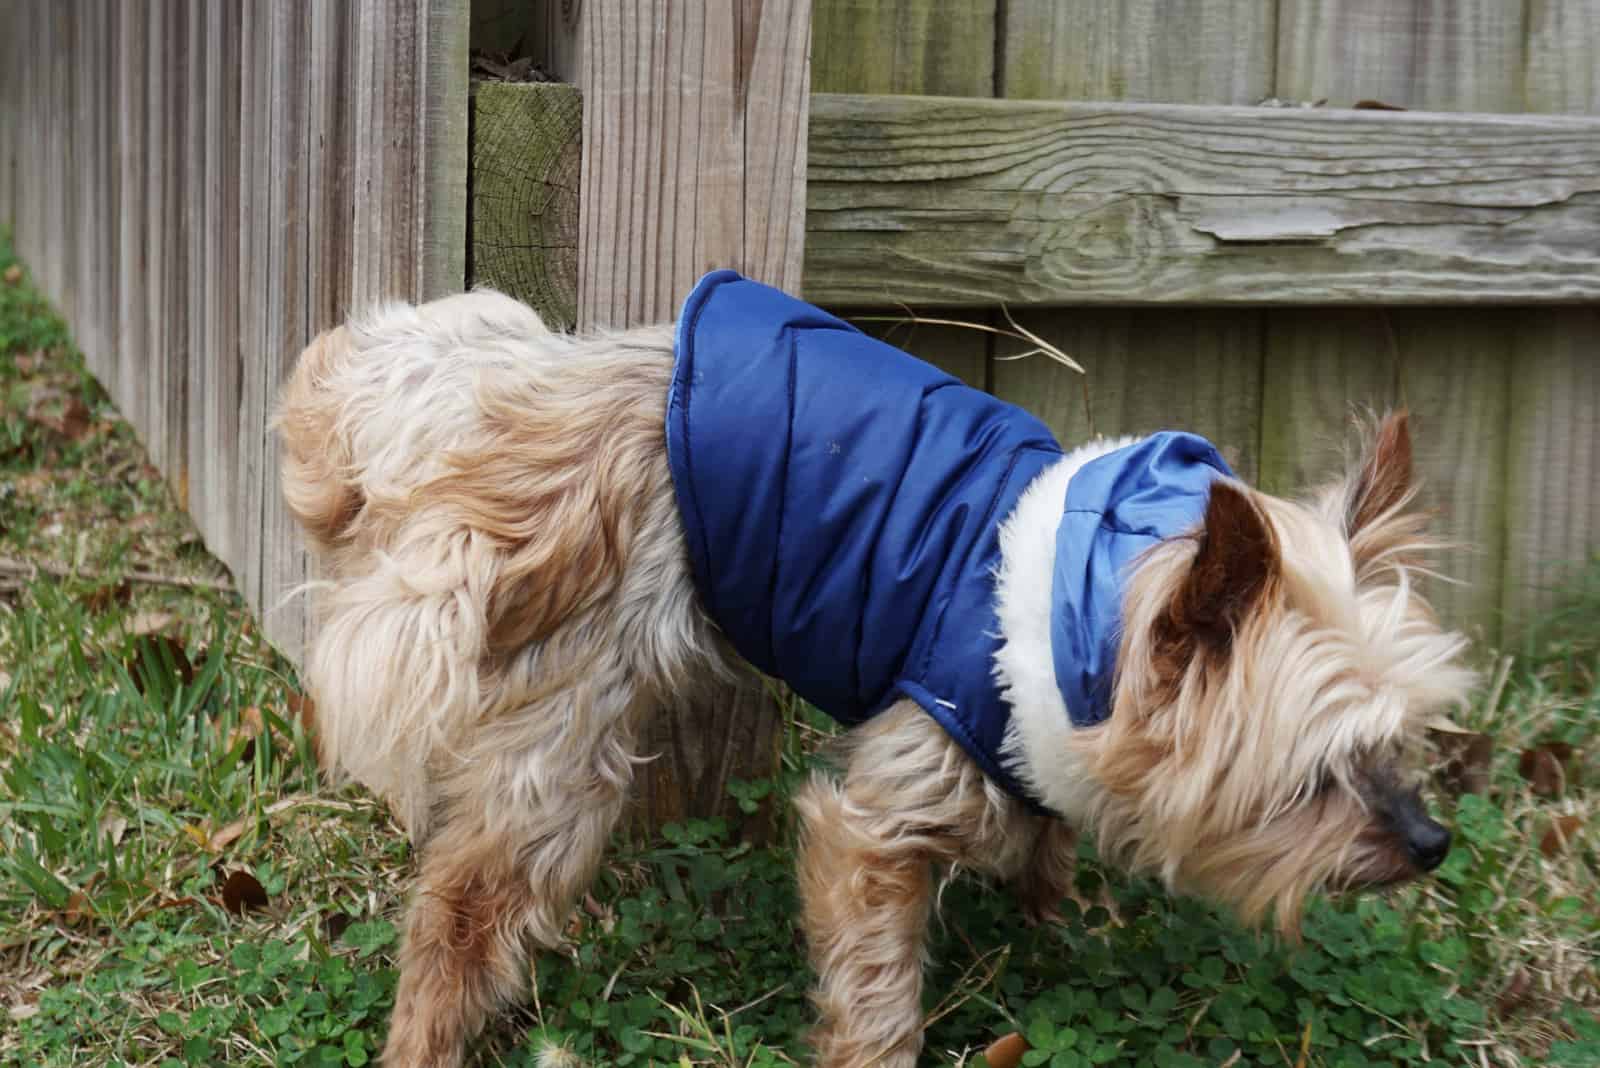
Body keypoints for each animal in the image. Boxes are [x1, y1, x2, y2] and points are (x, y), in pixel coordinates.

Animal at [272, 271, 1472, 1061]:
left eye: (1403, 741)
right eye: (1314, 776)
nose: (1430, 842)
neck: (1098, 599)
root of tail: (475, 398)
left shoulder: (1028, 748)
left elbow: (1045, 846)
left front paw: (1062, 925)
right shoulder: (893, 798)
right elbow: (877, 984)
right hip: (563, 727)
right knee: (462, 907)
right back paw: (426, 1036)